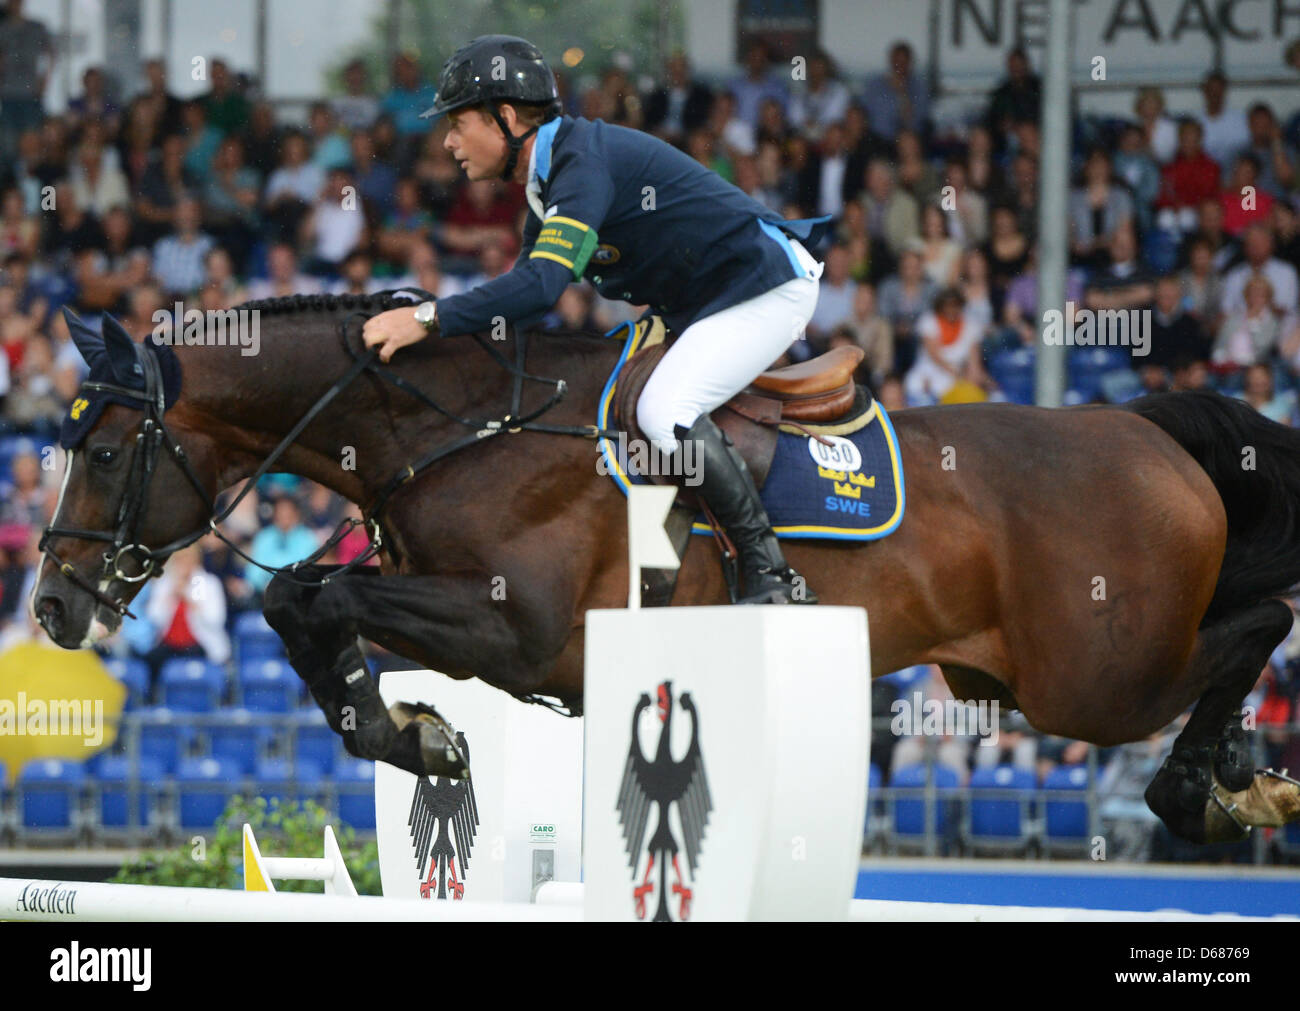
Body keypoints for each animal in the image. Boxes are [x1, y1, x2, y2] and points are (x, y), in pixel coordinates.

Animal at [27, 291, 1300, 842]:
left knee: (1256, 626)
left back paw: (1211, 784)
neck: (460, 428)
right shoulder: (453, 613)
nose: (49, 607)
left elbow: (317, 595)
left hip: (1089, 676)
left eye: (103, 452)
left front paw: (415, 737)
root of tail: (1146, 431)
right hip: (1031, 672)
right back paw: (1237, 769)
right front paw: (415, 735)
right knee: (1247, 619)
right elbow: (303, 602)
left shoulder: (515, 629)